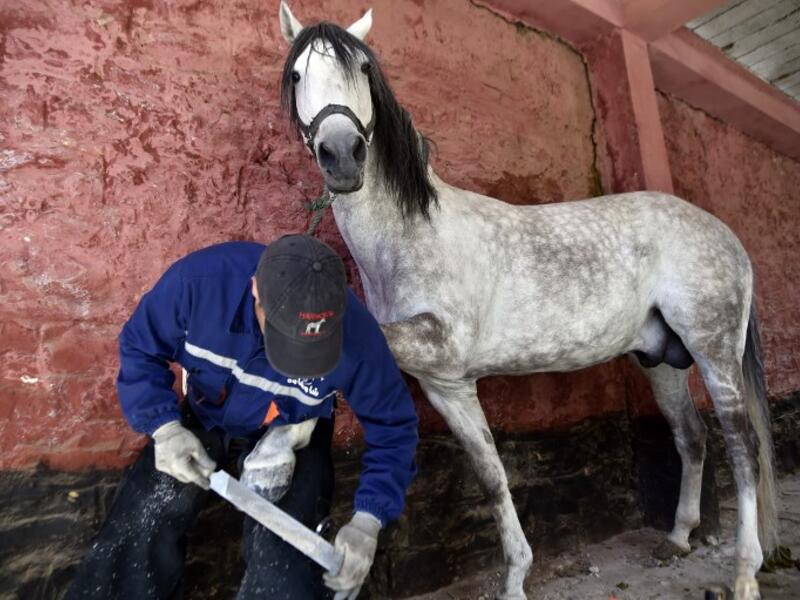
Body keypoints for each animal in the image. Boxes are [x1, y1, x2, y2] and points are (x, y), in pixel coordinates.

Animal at [276, 4, 778, 599]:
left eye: (361, 67)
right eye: (296, 75)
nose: (342, 156)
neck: (409, 237)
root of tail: (726, 235)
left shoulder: (442, 349)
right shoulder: (446, 385)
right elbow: (492, 477)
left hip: (714, 350)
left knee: (742, 446)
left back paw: (744, 572)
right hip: (660, 362)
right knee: (692, 437)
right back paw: (677, 538)